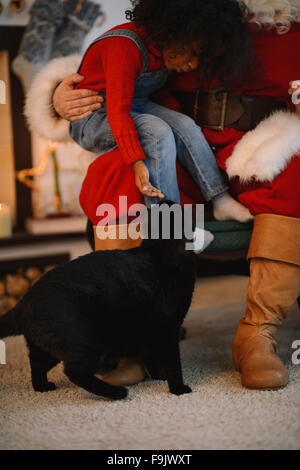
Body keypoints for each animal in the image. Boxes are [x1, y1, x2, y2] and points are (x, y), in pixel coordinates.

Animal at [0, 201, 198, 400]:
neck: (159, 249)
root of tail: (24, 303)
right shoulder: (168, 330)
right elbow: (173, 364)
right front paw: (178, 389)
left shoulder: (150, 333)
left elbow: (152, 358)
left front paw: (159, 377)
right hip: (93, 341)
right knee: (74, 371)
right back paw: (117, 392)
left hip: (47, 348)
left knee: (37, 365)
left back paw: (42, 387)